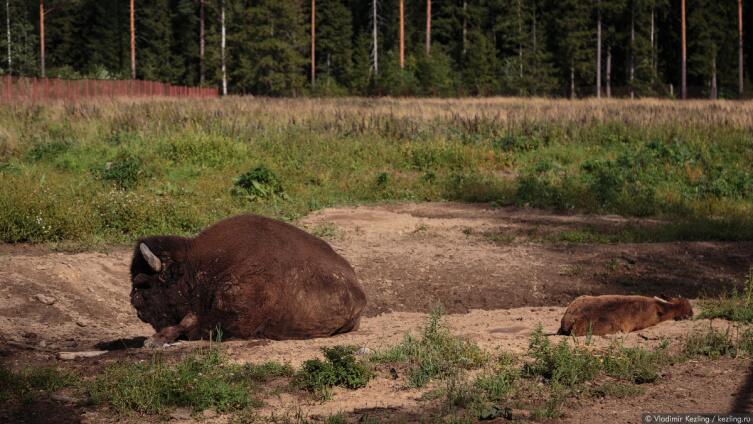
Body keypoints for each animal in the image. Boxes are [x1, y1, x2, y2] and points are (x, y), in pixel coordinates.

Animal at [131, 214, 366, 346]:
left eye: (144, 283)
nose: (134, 301)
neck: (196, 266)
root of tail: (360, 294)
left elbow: (194, 324)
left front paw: (154, 340)